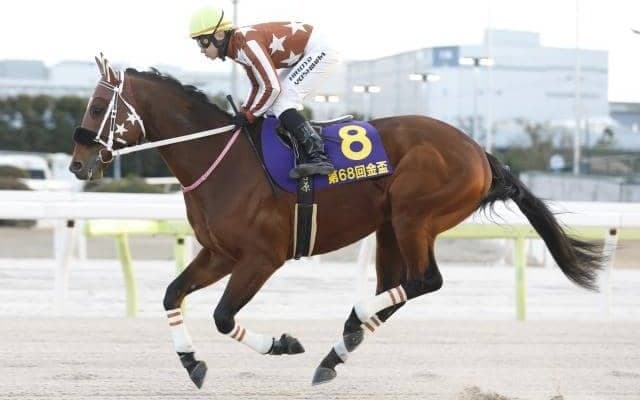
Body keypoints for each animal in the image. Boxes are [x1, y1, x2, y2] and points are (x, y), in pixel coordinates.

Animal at [69, 56, 603, 388]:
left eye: (96, 107)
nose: (77, 164)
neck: (218, 157)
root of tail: (481, 153)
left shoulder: (262, 258)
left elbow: (222, 316)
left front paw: (282, 344)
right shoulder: (219, 253)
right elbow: (171, 294)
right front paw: (191, 362)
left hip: (414, 216)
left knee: (424, 280)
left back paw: (351, 323)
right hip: (390, 228)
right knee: (398, 286)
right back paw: (338, 349)